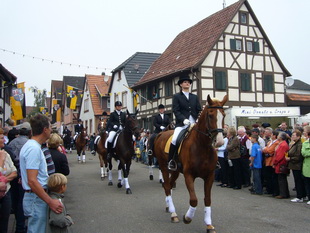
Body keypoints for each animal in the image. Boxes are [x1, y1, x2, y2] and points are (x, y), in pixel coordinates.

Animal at [153, 95, 228, 233]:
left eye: (224, 115)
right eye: (210, 115)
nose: (220, 142)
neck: (202, 146)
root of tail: (162, 133)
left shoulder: (210, 176)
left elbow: (207, 199)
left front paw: (209, 225)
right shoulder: (189, 175)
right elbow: (194, 200)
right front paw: (187, 218)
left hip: (176, 171)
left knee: (169, 185)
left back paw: (169, 207)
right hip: (164, 166)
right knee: (167, 186)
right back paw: (173, 214)